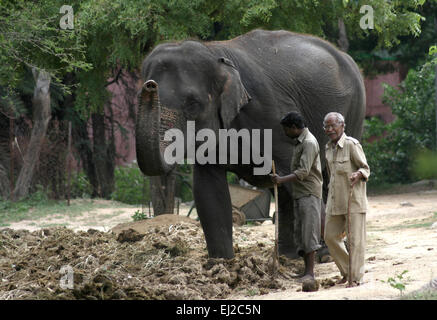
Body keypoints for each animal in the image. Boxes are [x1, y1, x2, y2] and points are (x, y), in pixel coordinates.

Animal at [135, 29, 364, 260]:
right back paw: (288, 256)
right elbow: (208, 190)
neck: (213, 51)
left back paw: (322, 254)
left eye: (192, 104)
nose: (150, 85)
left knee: (328, 178)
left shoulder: (270, 115)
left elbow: (298, 176)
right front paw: (221, 263)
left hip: (354, 110)